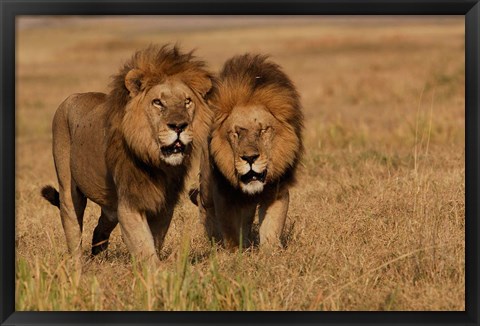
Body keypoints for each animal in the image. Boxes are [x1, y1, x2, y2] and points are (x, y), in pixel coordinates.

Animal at [40, 45, 213, 264]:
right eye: (158, 102)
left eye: (187, 101)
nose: (179, 126)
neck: (156, 162)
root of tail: (73, 97)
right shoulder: (129, 203)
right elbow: (144, 246)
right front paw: (156, 272)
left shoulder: (164, 204)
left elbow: (154, 241)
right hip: (68, 189)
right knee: (73, 227)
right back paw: (77, 265)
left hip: (109, 206)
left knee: (100, 228)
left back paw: (99, 258)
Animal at [188, 53, 304, 250]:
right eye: (235, 133)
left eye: (263, 130)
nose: (250, 158)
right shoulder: (223, 193)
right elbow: (230, 229)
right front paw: (235, 252)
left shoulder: (277, 190)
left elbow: (272, 226)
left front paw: (271, 252)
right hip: (206, 185)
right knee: (205, 207)